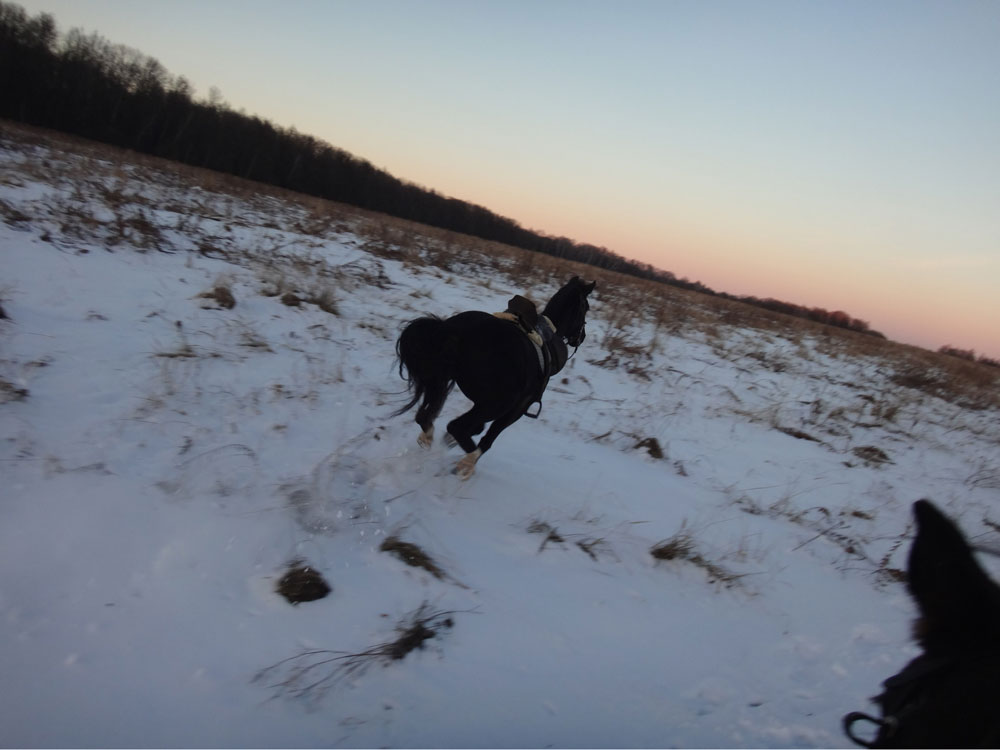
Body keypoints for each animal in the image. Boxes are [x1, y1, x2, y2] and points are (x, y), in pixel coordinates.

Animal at [390, 278, 592, 482]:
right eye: (586, 308)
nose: (581, 337)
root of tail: (451, 329)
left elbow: (478, 428)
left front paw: (451, 441)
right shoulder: (516, 409)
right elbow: (489, 437)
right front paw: (463, 458)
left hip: (439, 381)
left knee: (424, 417)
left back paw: (429, 439)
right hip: (496, 404)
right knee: (456, 426)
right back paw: (466, 464)